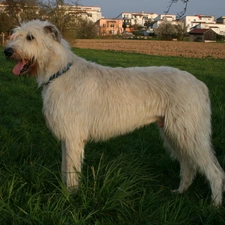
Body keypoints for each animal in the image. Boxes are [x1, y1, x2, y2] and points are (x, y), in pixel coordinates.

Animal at [3, 19, 225, 206]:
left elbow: (72, 173)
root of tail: (200, 85)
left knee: (214, 171)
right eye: (15, 34)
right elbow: (66, 169)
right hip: (174, 132)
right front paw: (66, 193)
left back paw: (214, 205)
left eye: (30, 37)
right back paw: (180, 192)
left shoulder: (73, 137)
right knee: (189, 165)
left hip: (189, 131)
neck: (59, 73)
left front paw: (70, 199)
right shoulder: (68, 138)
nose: (7, 51)